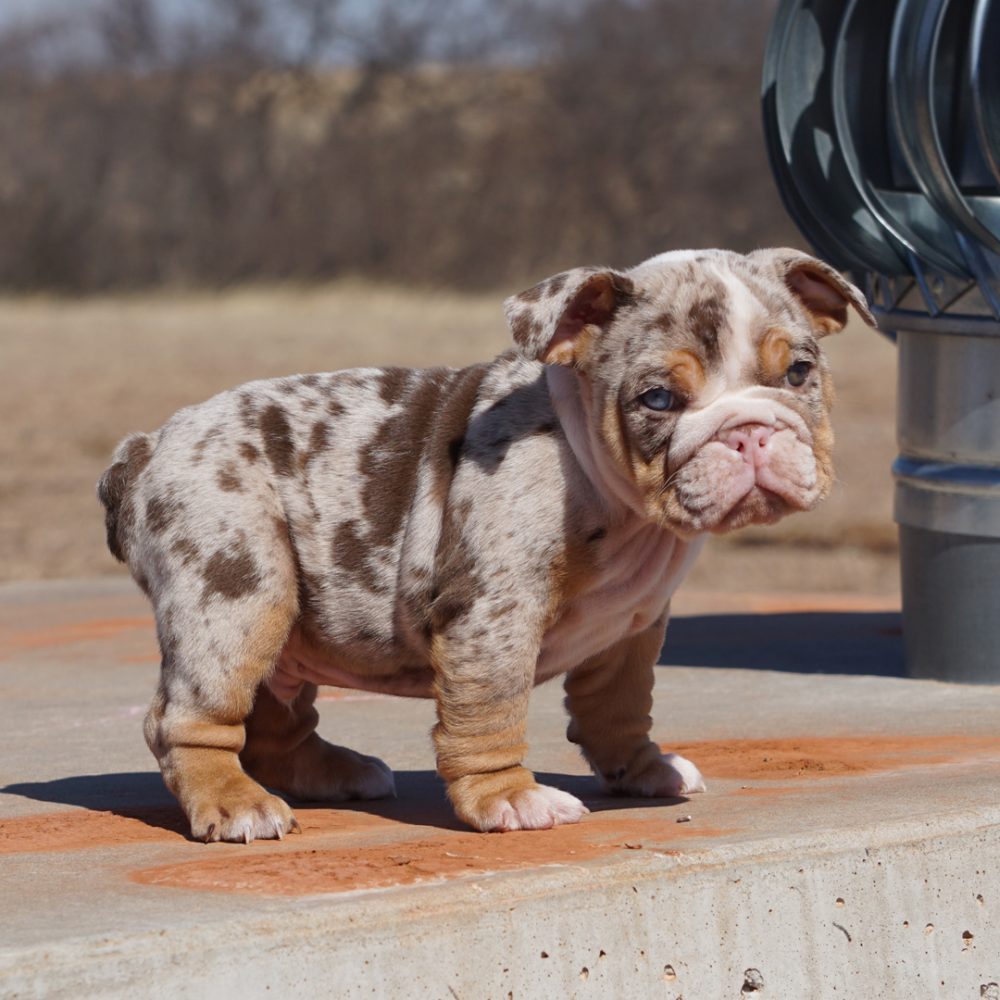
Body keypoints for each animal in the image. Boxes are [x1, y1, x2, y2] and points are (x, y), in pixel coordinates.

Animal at [97, 246, 872, 840]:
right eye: (658, 399)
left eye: (799, 373)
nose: (750, 431)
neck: (620, 502)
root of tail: (146, 446)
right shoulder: (494, 613)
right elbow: (489, 711)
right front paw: (510, 799)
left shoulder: (632, 626)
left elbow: (619, 706)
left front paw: (647, 769)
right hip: (238, 590)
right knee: (190, 717)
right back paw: (236, 805)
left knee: (273, 715)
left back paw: (334, 772)